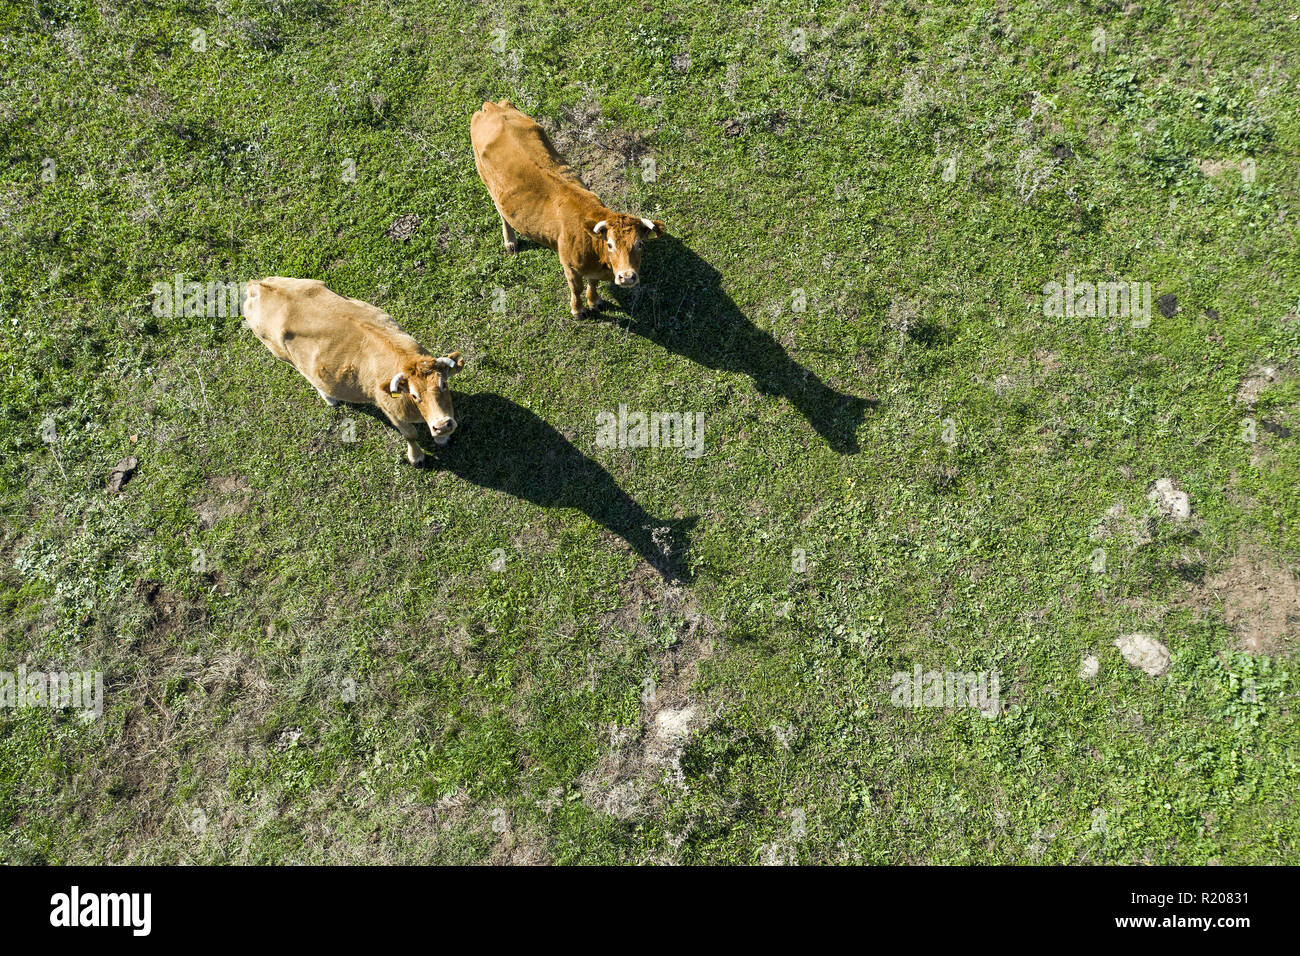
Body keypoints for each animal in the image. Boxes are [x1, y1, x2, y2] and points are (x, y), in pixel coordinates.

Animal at [243, 277, 465, 465]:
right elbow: (410, 435)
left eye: (444, 384)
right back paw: (330, 398)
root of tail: (258, 284)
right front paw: (416, 457)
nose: (442, 425)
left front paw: (443, 438)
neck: (404, 358)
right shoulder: (391, 411)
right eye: (414, 395)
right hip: (278, 353)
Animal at [470, 99, 666, 317]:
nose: (627, 276)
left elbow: (593, 284)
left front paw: (594, 301)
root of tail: (492, 107)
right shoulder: (570, 267)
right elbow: (576, 288)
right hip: (486, 180)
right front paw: (578, 310)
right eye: (610, 244)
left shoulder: (594, 271)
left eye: (640, 244)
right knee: (501, 212)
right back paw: (510, 242)